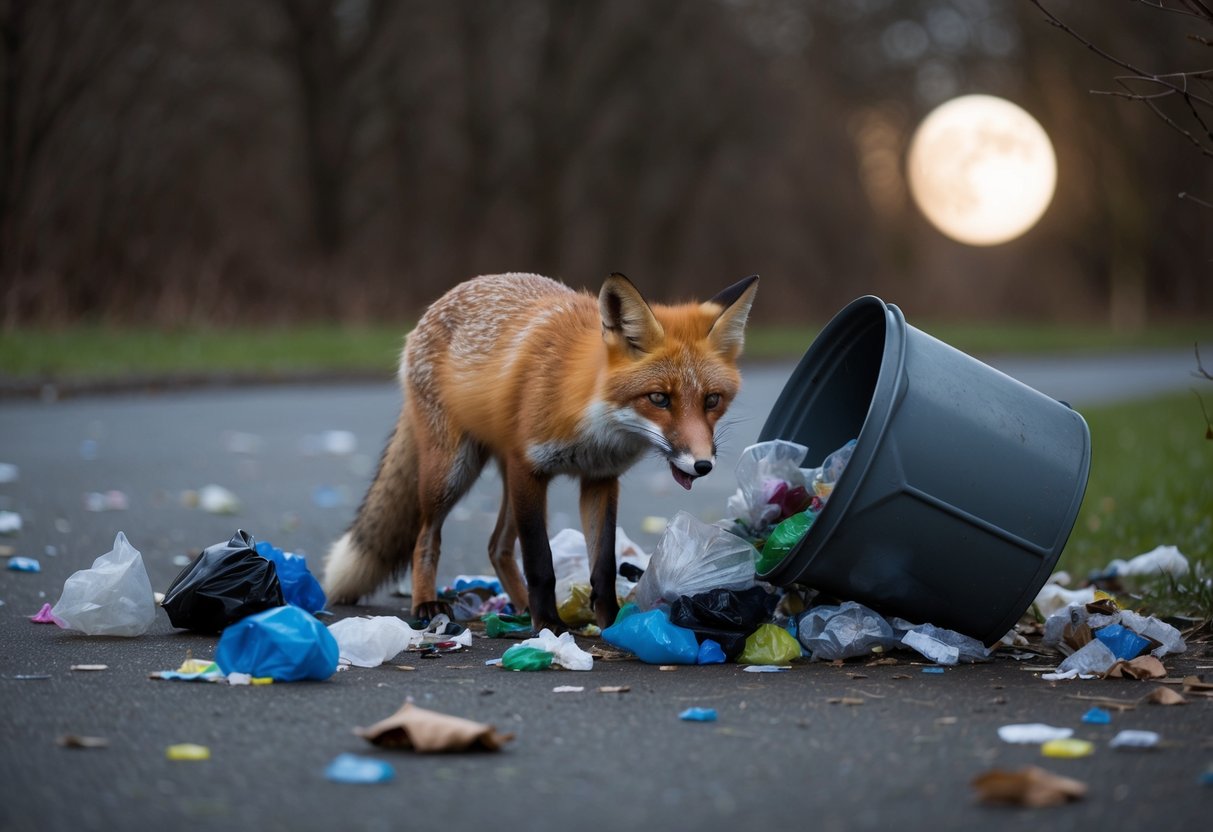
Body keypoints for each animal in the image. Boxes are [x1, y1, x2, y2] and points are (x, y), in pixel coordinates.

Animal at [323, 271, 758, 632]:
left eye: (712, 400)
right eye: (659, 399)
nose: (702, 465)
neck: (593, 424)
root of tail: (445, 298)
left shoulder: (600, 479)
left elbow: (603, 566)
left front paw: (610, 622)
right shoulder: (529, 469)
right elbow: (539, 561)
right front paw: (548, 624)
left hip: (502, 482)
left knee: (496, 547)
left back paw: (517, 607)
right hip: (452, 472)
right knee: (425, 537)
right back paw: (428, 604)